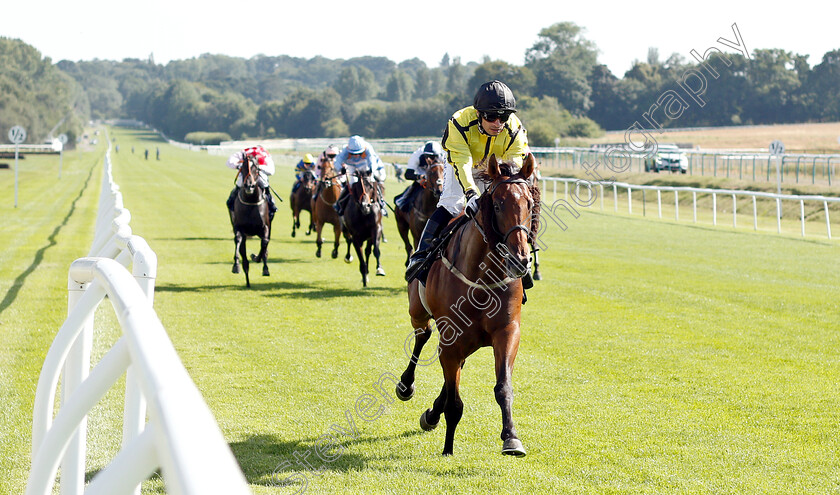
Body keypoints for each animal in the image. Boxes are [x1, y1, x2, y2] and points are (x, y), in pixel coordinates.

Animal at [233, 154, 272, 286]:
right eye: (243, 166)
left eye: (256, 167)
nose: (249, 185)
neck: (250, 201)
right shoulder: (240, 228)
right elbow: (238, 240)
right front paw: (236, 265)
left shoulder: (265, 227)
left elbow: (264, 243)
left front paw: (264, 267)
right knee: (244, 257)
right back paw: (247, 282)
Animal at [396, 154, 540, 458]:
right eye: (497, 205)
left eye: (529, 204)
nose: (520, 260)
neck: (483, 277)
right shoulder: (451, 340)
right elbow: (454, 402)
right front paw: (448, 449)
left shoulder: (507, 331)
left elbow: (503, 386)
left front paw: (512, 438)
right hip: (418, 310)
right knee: (423, 335)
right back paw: (406, 386)